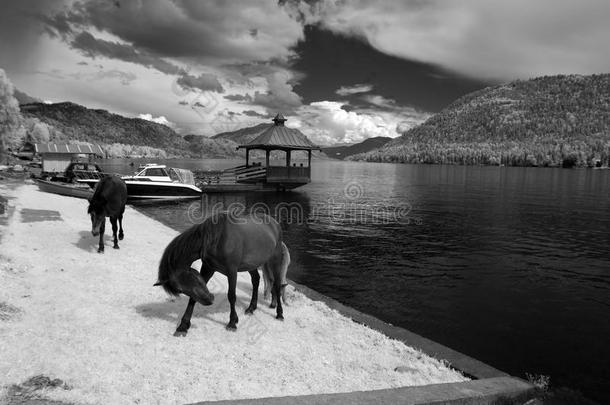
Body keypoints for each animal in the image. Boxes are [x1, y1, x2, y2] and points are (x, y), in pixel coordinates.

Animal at [152, 211, 284, 334]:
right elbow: (193, 298)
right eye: (180, 290)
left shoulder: (232, 271)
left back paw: (280, 314)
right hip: (251, 264)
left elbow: (231, 296)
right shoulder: (208, 269)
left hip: (276, 260)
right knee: (255, 280)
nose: (209, 300)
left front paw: (232, 322)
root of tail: (274, 223)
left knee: (277, 285)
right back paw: (251, 308)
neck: (217, 239)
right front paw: (183, 326)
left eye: (191, 277)